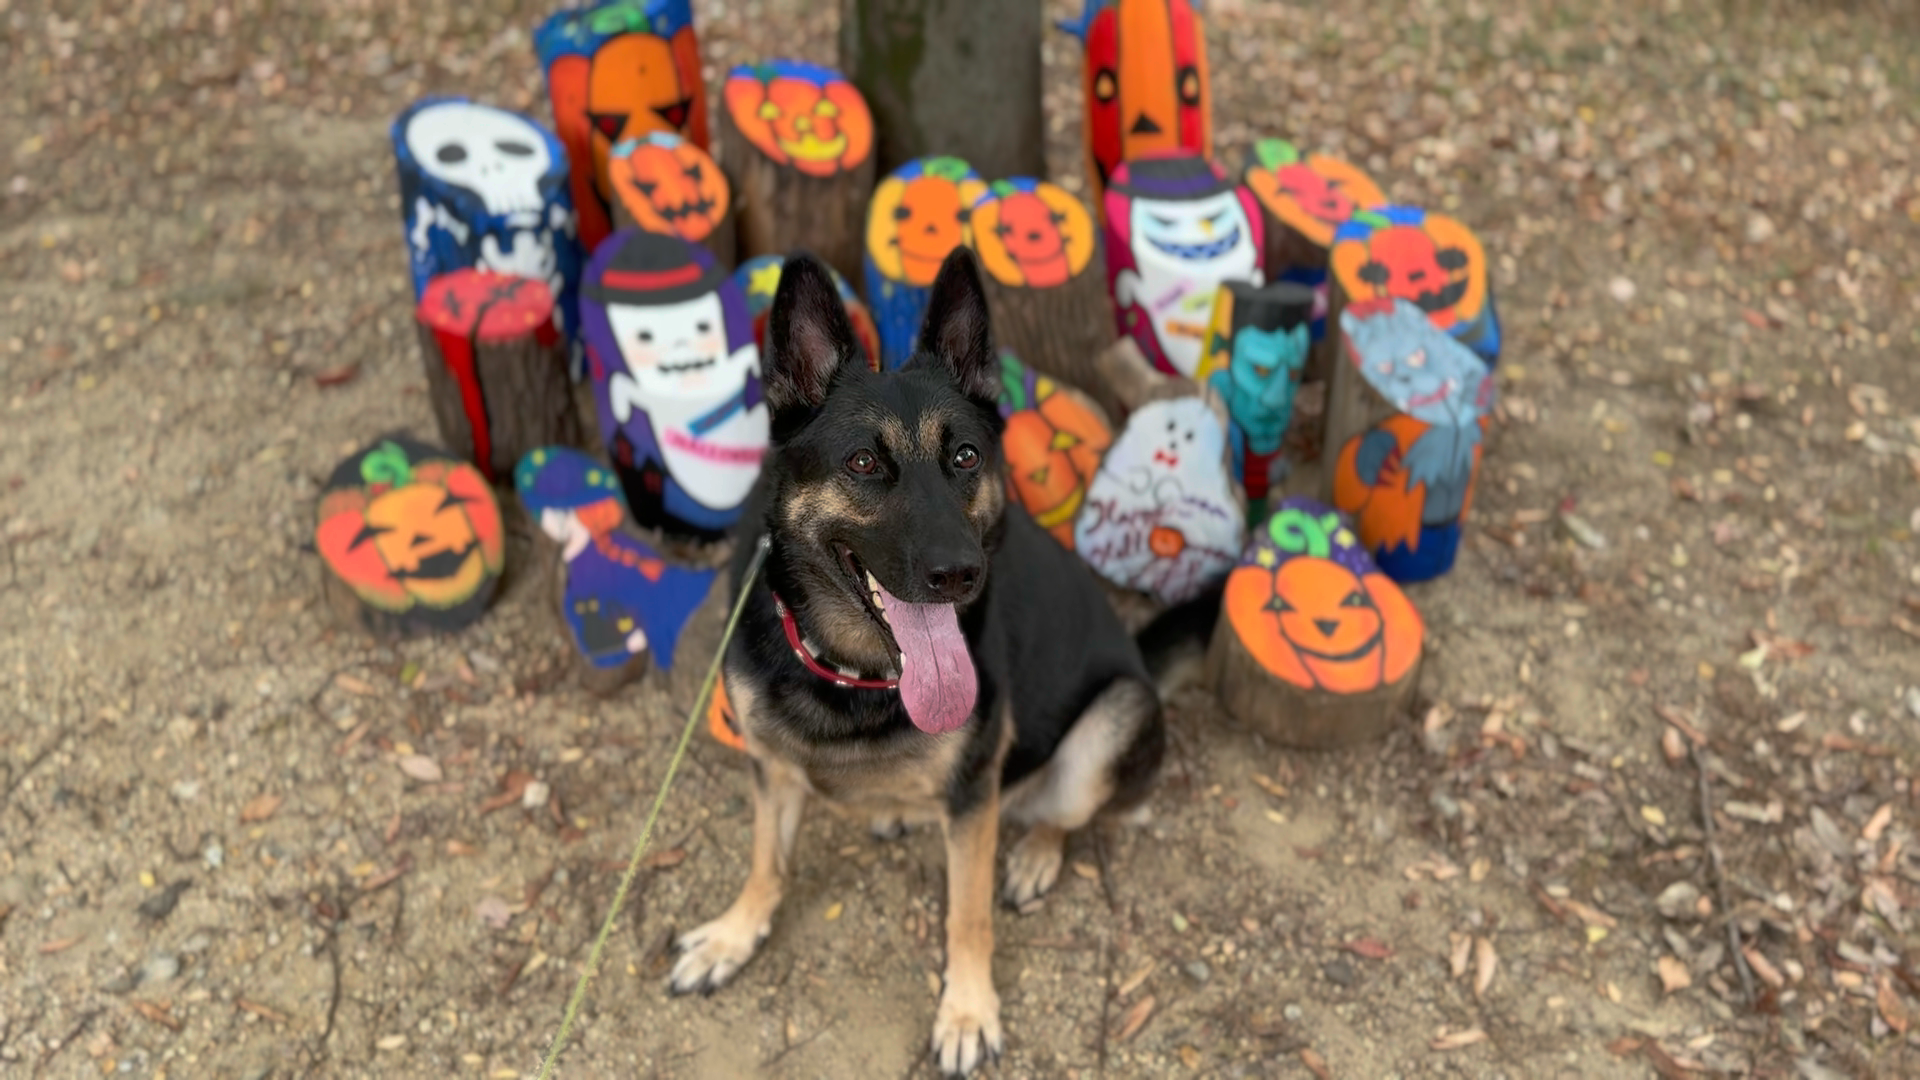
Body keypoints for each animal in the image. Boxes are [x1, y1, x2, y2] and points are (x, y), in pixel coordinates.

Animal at [669, 248, 1167, 1075]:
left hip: (1111, 721)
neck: (855, 672)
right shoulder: (770, 769)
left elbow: (966, 915)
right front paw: (735, 936)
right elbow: (766, 863)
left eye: (965, 456)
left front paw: (966, 1011)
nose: (960, 573)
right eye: (863, 462)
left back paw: (1034, 853)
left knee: (1065, 810)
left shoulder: (972, 797)